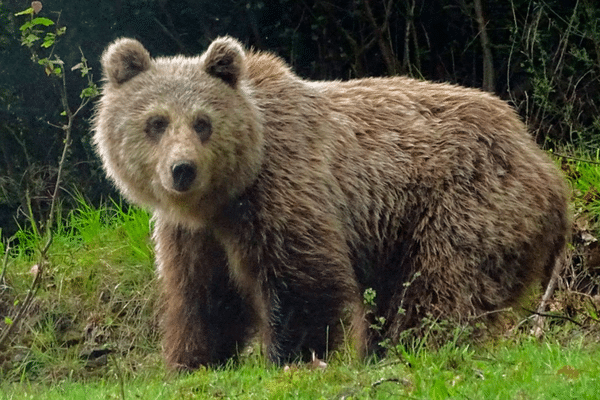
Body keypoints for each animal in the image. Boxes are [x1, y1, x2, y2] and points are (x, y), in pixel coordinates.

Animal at [91, 36, 568, 370]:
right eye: (156, 121)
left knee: (442, 287)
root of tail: (539, 157)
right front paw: (192, 361)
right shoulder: (194, 234)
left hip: (463, 200)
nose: (182, 169)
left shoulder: (284, 189)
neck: (224, 197)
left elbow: (303, 282)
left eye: (202, 122)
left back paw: (415, 348)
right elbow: (203, 297)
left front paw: (288, 358)